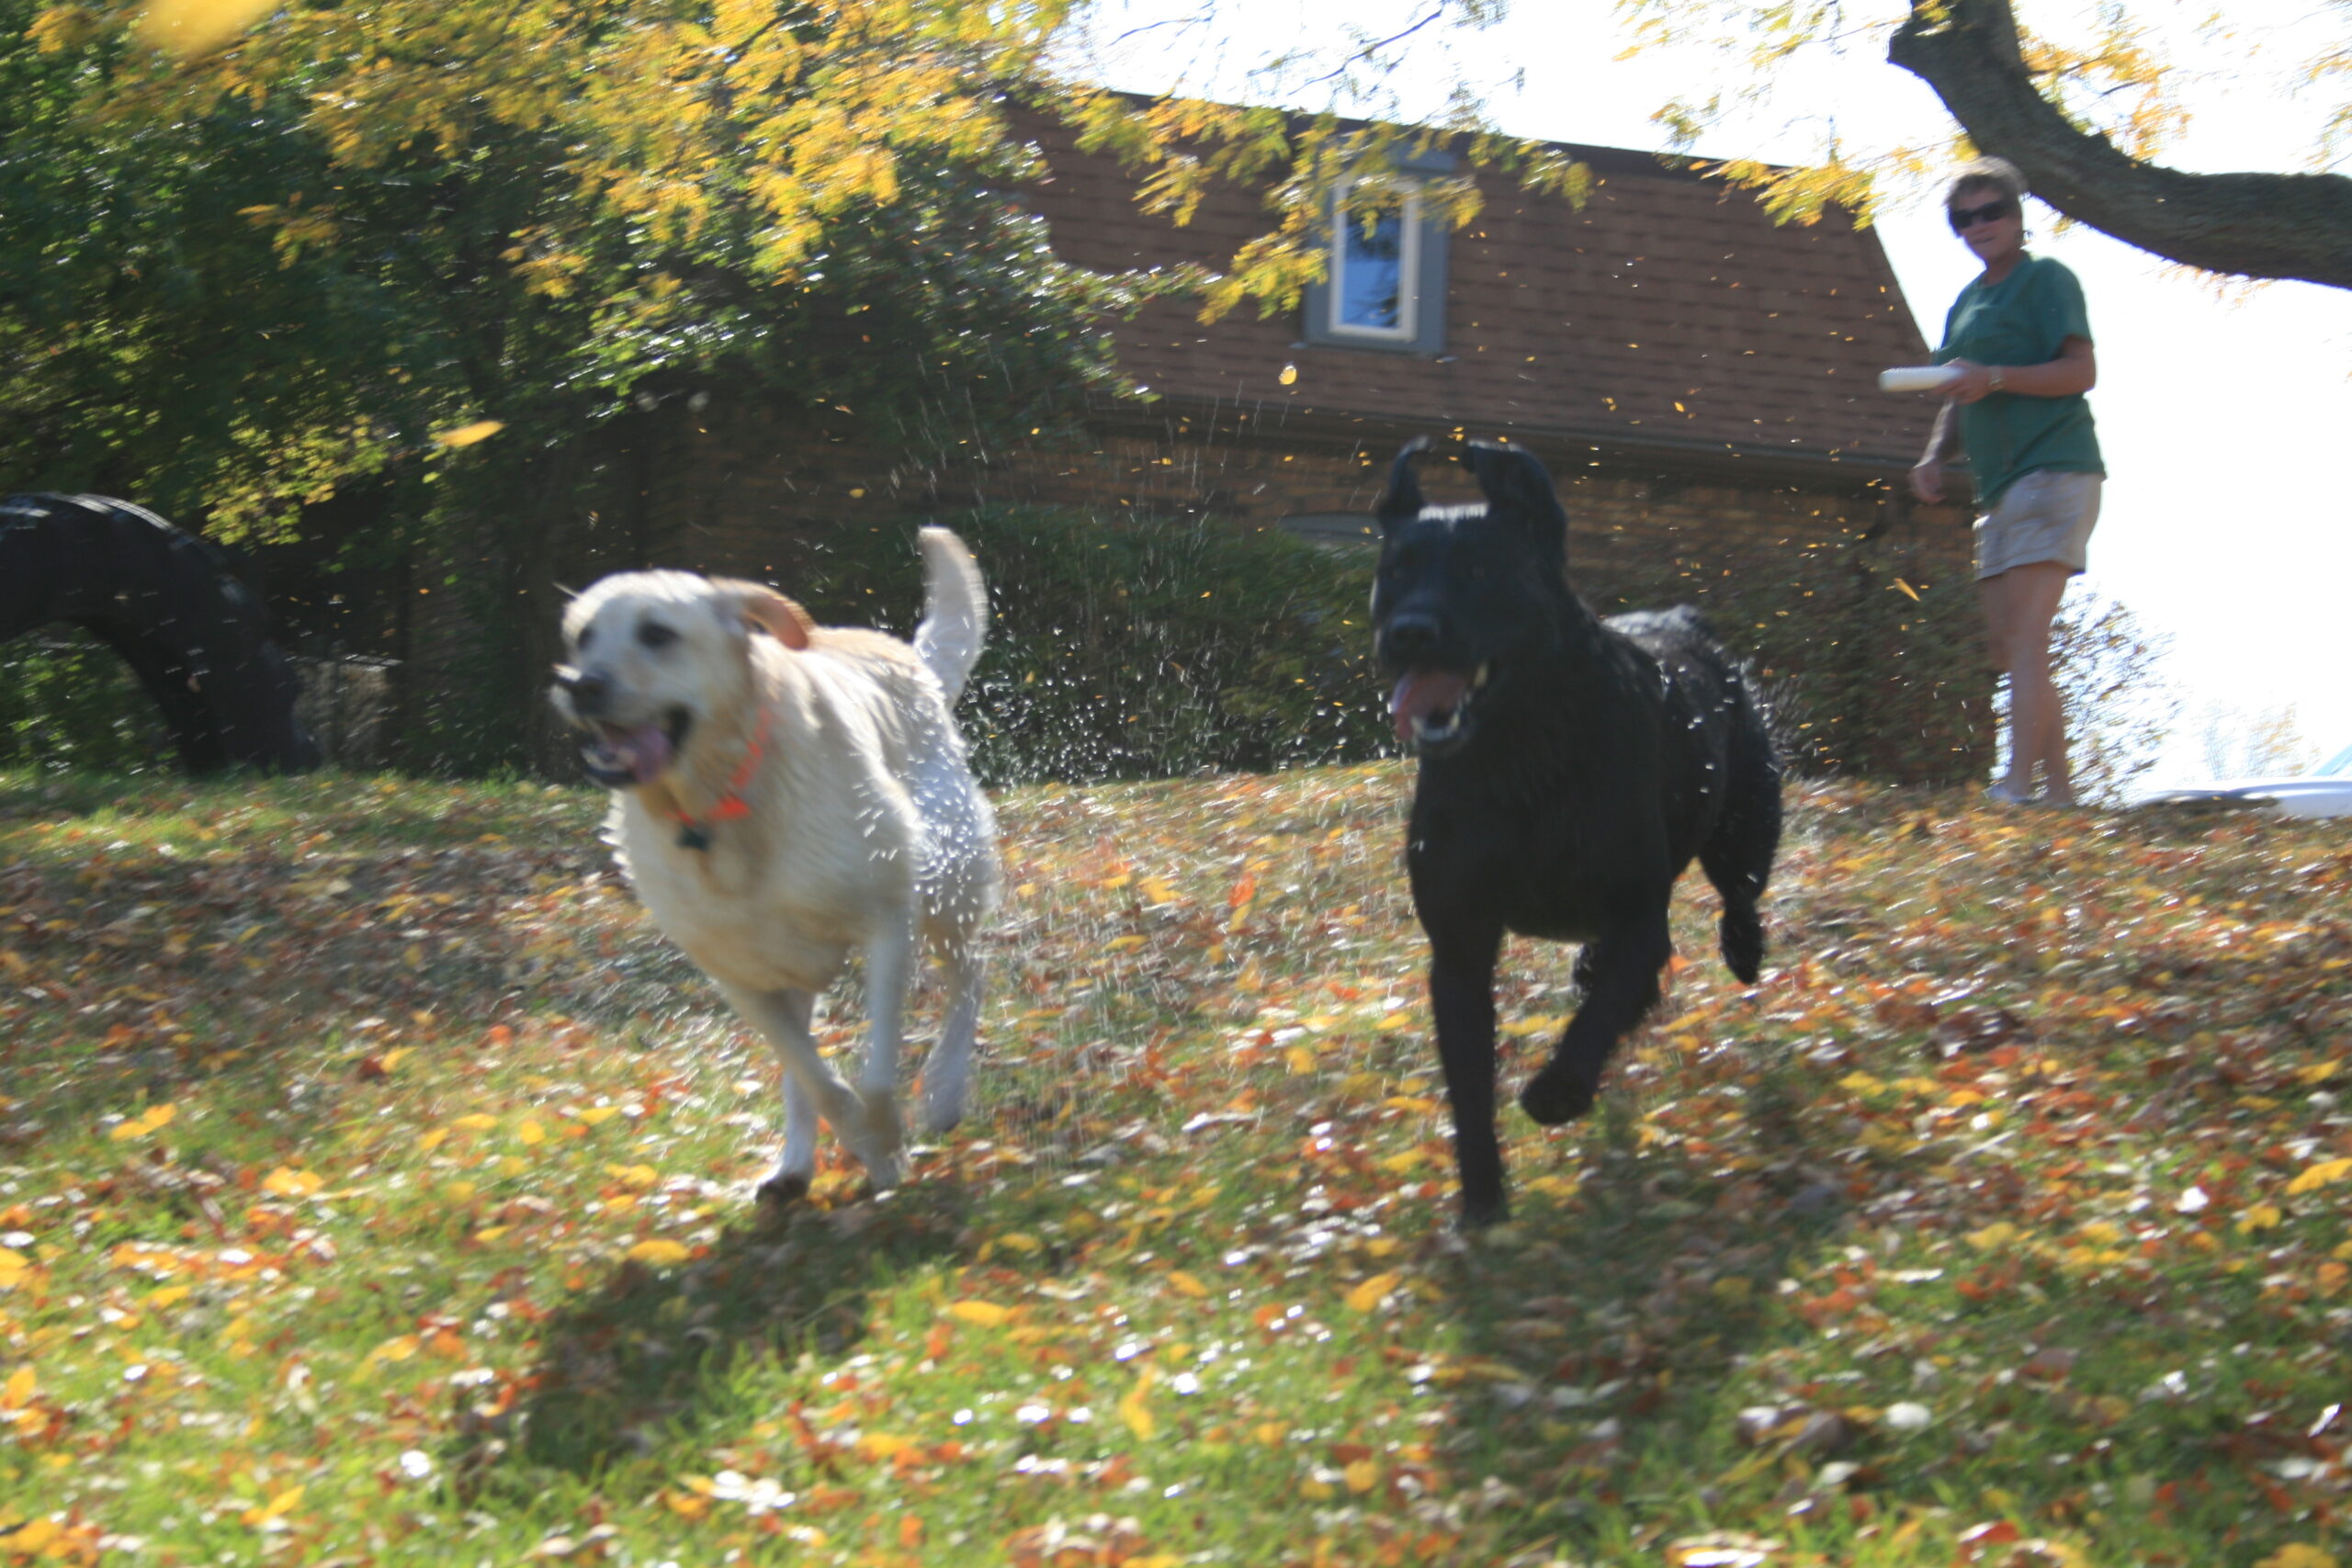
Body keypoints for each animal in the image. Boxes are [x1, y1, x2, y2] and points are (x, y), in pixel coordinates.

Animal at [550, 529, 999, 1200]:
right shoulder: (740, 978)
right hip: (790, 963)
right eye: (582, 636)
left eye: (657, 633)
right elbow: (817, 1080)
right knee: (802, 1068)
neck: (721, 802)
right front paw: (869, 1146)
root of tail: (910, 659)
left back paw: (944, 1093)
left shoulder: (888, 924)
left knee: (969, 977)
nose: (580, 684)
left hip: (948, 882)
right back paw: (793, 1165)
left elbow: (874, 1077)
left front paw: (889, 1147)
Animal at [1371, 438, 1782, 1227]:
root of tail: (1687, 618)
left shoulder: (1639, 912)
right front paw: (1482, 1202)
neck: (1518, 757)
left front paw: (1558, 1089)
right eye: (1394, 571)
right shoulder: (1459, 946)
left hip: (1747, 820)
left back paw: (1743, 950)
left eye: (1479, 570)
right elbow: (1469, 1081)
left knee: (1740, 892)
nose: (1407, 632)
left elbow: (1607, 1007)